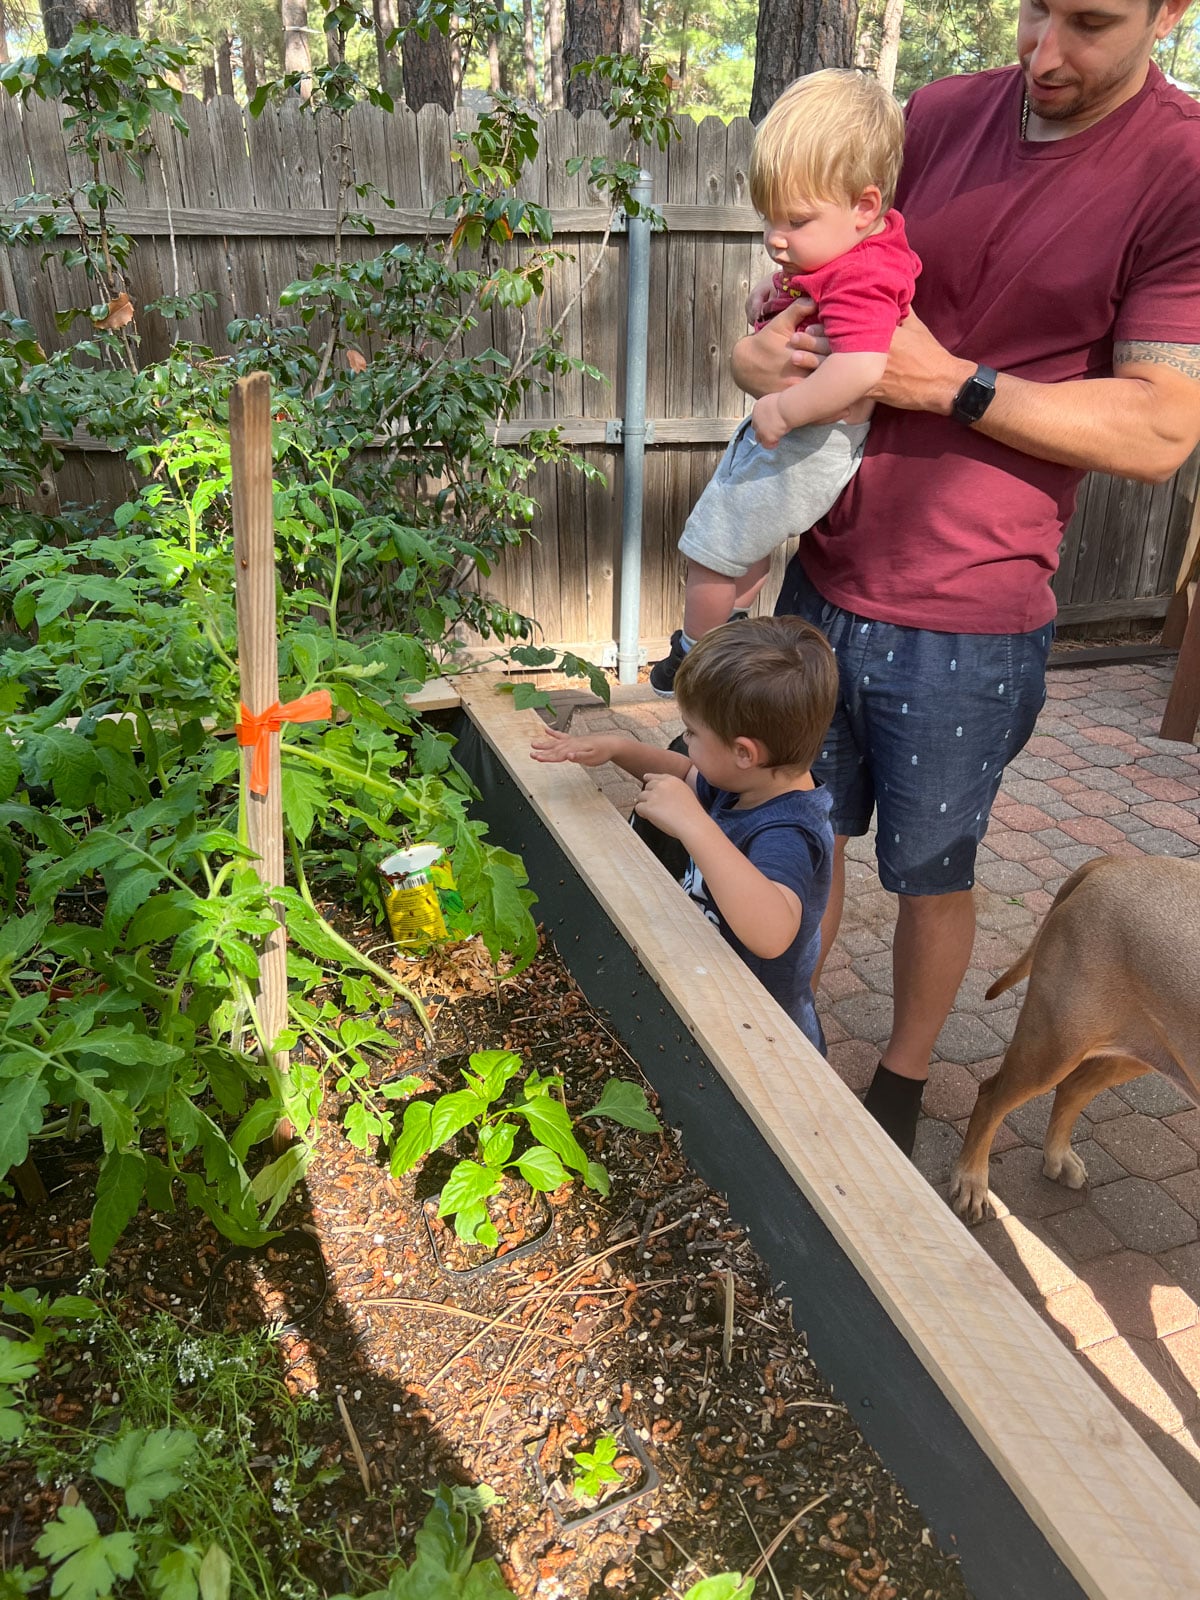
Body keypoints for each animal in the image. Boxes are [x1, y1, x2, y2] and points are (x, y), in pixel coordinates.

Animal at [947, 864, 1200, 1222]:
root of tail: (1109, 863)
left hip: (1146, 1048)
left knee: (1074, 1086)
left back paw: (1057, 1155)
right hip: (1054, 1045)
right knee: (990, 1097)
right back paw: (972, 1181)